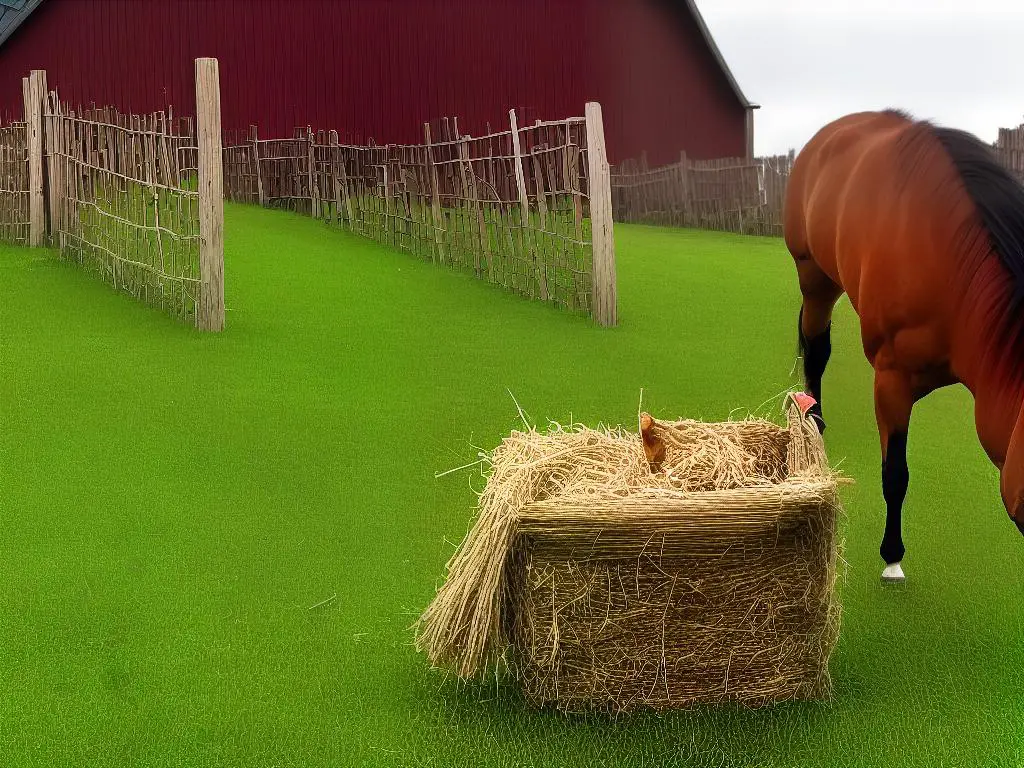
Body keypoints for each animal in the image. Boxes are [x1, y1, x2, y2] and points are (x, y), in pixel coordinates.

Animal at [782, 109, 1024, 581]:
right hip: (814, 275)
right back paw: (813, 416)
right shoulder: (891, 380)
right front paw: (892, 556)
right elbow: (895, 473)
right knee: (816, 347)